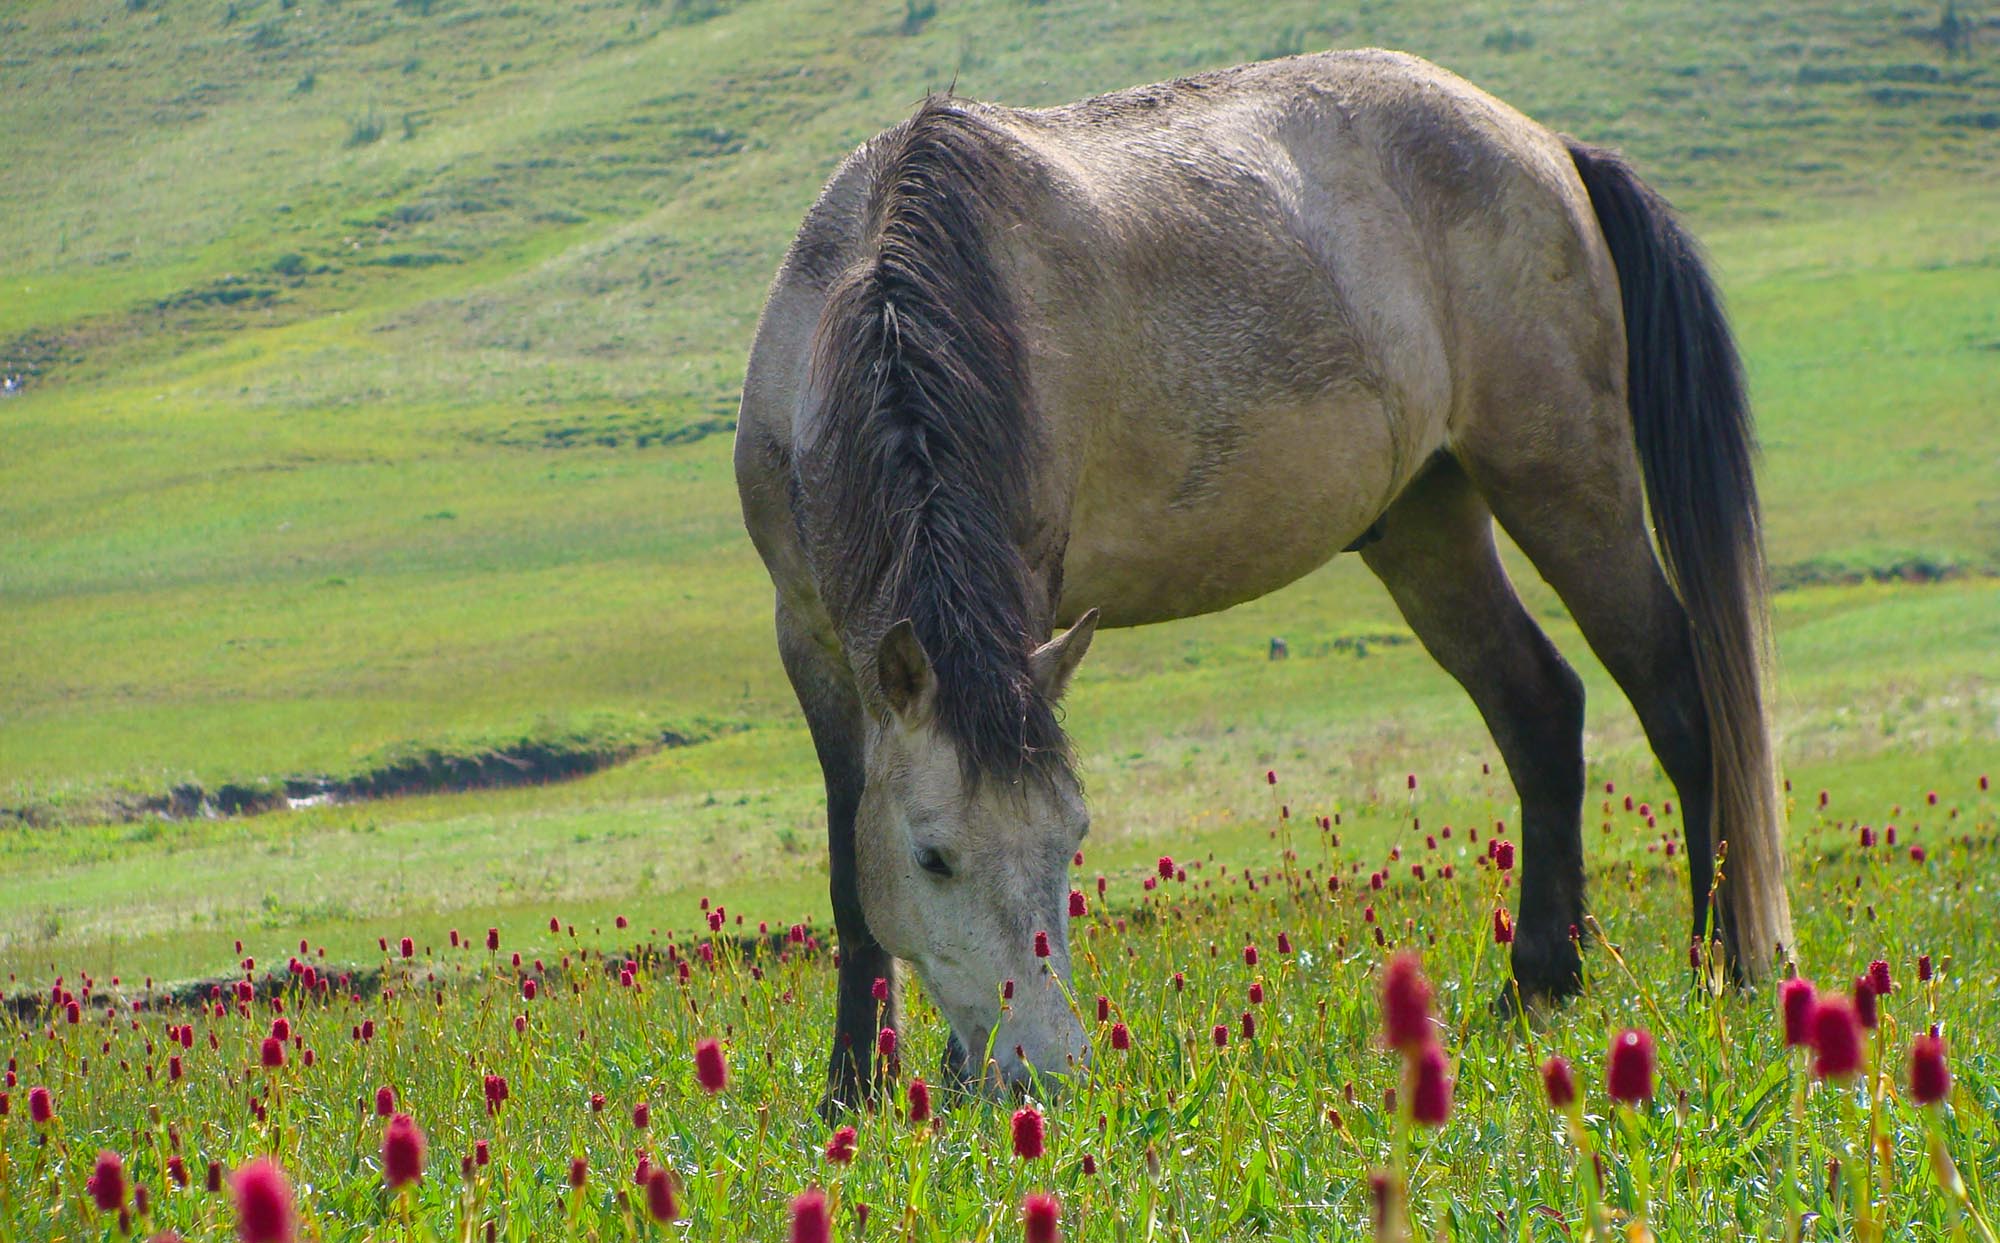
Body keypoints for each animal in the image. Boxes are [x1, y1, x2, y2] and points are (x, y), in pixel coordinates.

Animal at [736, 48, 1800, 1111]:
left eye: (1073, 837)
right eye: (933, 856)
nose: (1049, 1073)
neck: (885, 301)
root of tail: (1547, 149)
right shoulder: (810, 639)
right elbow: (849, 872)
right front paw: (858, 1085)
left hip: (1567, 483)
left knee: (1681, 699)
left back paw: (1720, 966)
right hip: (1428, 520)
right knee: (1538, 706)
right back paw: (1537, 985)